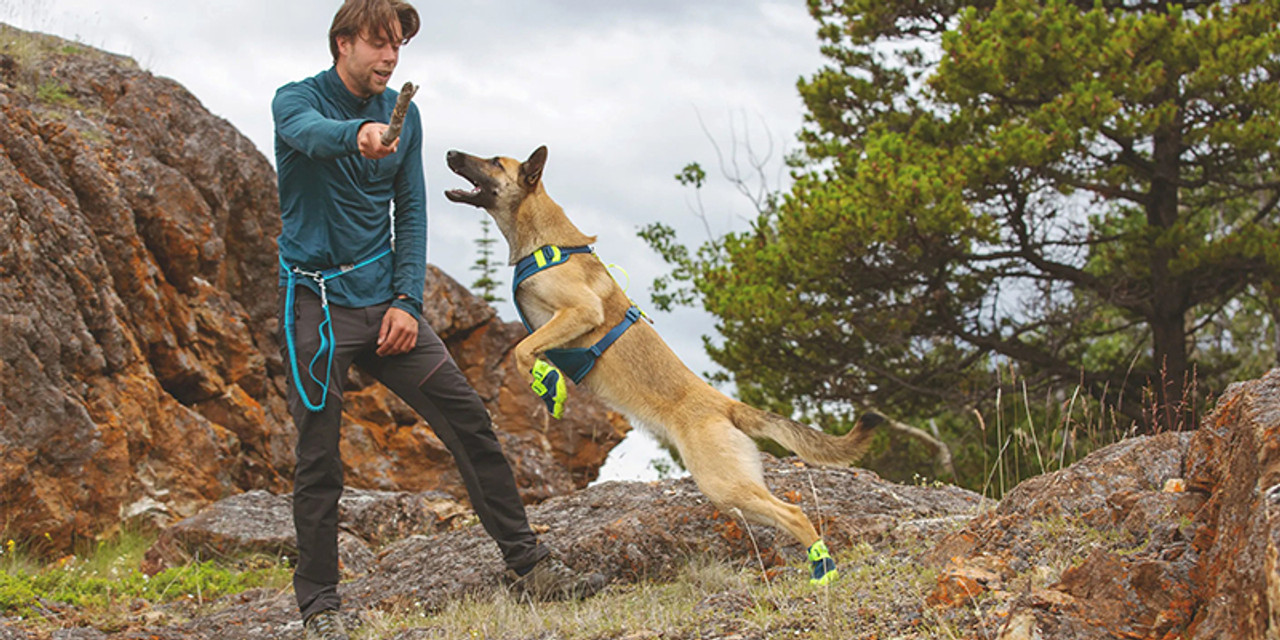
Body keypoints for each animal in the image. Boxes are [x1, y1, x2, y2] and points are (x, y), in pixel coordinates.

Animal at [442, 146, 880, 586]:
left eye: (495, 162)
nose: (450, 153)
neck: (543, 239)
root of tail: (726, 405)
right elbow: (526, 348)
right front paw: (546, 382)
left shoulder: (581, 311)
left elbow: (522, 350)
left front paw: (548, 384)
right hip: (732, 490)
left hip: (723, 483)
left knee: (794, 512)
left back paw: (823, 570)